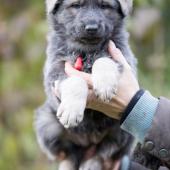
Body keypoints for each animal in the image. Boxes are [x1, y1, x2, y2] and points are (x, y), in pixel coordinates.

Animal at [34, 0, 137, 169]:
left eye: (104, 6)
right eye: (76, 5)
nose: (91, 28)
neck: (87, 51)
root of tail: (88, 141)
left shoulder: (124, 58)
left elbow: (104, 59)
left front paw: (105, 85)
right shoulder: (55, 68)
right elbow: (74, 81)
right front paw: (71, 110)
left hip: (123, 128)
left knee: (104, 152)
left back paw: (91, 163)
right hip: (47, 123)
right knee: (69, 154)